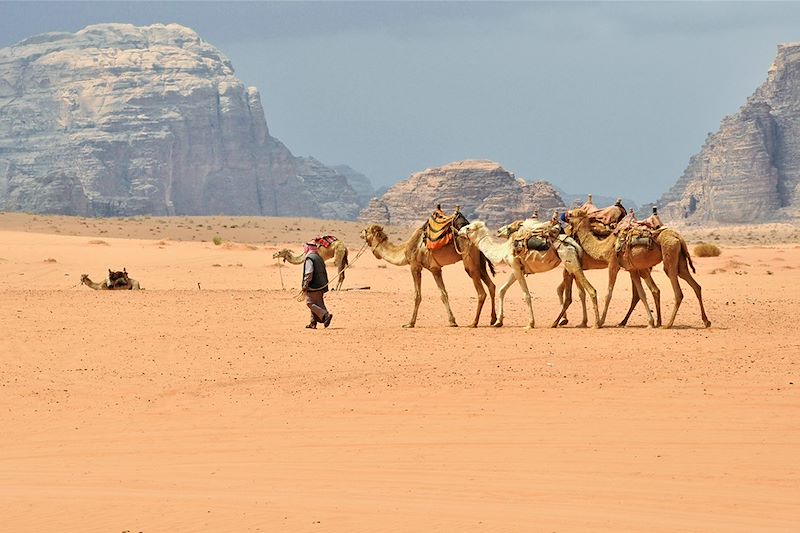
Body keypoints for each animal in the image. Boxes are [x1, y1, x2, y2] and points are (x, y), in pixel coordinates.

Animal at [360, 222, 496, 326]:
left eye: (366, 230)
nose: (361, 232)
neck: (405, 249)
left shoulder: (415, 266)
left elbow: (417, 295)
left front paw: (410, 323)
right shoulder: (435, 269)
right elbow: (443, 294)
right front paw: (452, 322)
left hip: (470, 262)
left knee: (481, 292)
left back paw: (474, 323)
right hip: (481, 263)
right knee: (492, 286)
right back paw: (493, 320)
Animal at [456, 220, 600, 328]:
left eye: (468, 227)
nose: (458, 232)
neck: (503, 251)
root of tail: (574, 244)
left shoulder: (515, 266)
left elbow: (526, 295)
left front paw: (530, 323)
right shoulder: (517, 269)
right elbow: (502, 290)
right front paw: (498, 322)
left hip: (571, 263)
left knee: (591, 290)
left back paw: (596, 324)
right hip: (569, 265)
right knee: (572, 295)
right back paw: (559, 322)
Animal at [564, 208, 708, 328]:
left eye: (572, 214)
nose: (564, 215)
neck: (604, 246)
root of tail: (678, 237)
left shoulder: (613, 264)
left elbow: (608, 294)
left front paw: (599, 323)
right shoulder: (632, 269)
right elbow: (642, 294)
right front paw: (650, 322)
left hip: (670, 253)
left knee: (677, 290)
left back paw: (668, 324)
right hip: (680, 260)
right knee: (695, 285)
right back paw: (706, 321)